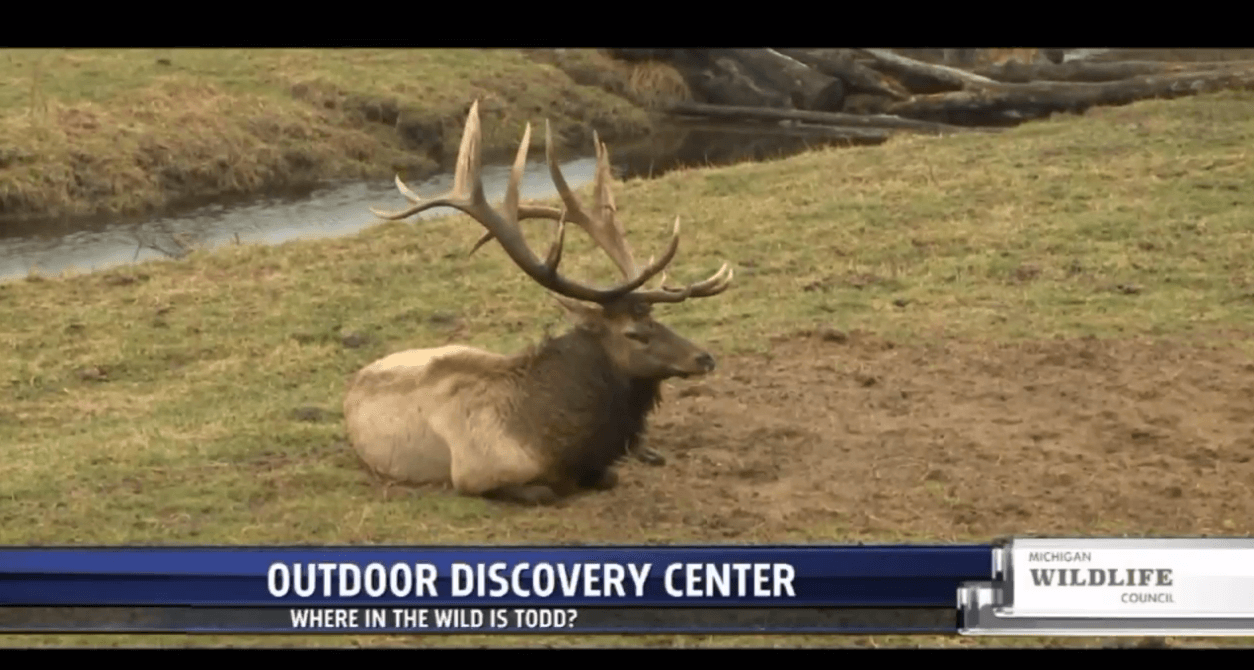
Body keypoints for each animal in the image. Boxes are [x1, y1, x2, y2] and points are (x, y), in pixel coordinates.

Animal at [342, 100, 733, 506]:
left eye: (659, 320)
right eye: (634, 332)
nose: (704, 357)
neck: (553, 442)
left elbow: (610, 475)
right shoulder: (472, 476)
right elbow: (544, 492)